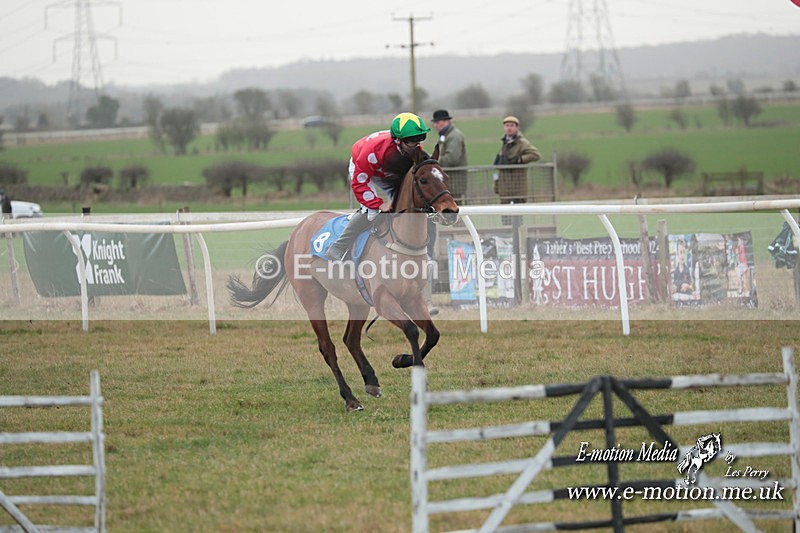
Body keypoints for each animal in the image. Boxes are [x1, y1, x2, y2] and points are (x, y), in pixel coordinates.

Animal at [227, 145, 460, 411]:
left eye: (445, 177)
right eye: (423, 179)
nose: (451, 211)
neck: (400, 242)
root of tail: (297, 231)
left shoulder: (413, 298)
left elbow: (433, 334)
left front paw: (402, 360)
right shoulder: (384, 300)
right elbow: (411, 330)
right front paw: (411, 368)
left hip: (356, 300)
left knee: (351, 339)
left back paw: (371, 381)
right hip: (312, 297)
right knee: (327, 347)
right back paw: (350, 398)